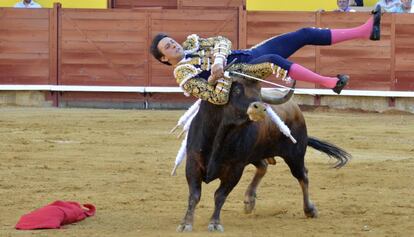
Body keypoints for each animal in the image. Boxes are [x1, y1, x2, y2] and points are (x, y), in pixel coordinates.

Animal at [176, 75, 350, 231]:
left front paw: (214, 223)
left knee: (303, 176)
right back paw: (249, 200)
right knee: (263, 166)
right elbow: (194, 195)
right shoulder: (192, 164)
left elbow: (220, 195)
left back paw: (309, 210)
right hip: (257, 154)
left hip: (295, 155)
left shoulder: (235, 169)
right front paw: (186, 223)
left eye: (259, 93)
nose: (260, 107)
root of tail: (295, 108)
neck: (221, 134)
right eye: (237, 90)